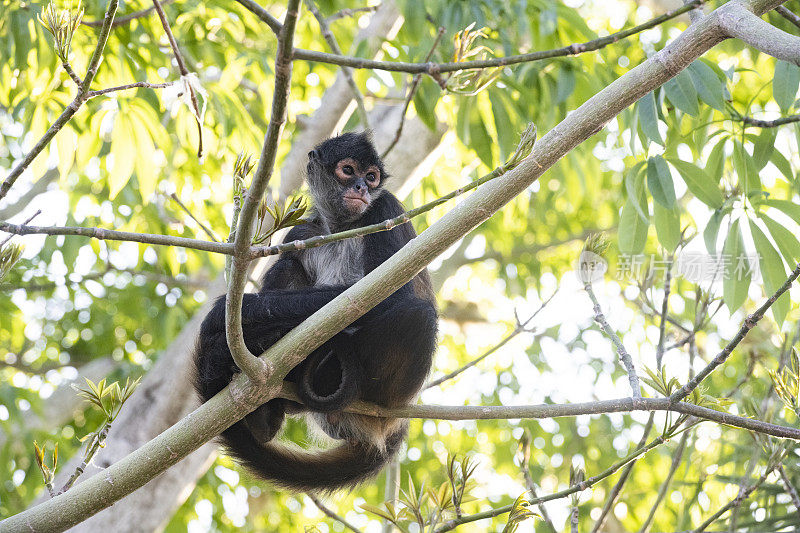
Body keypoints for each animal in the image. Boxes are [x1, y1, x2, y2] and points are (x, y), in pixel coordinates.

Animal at [194, 132, 438, 490]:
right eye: (348, 171)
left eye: (371, 177)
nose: (361, 188)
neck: (339, 227)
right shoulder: (301, 233)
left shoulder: (385, 208)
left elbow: (395, 297)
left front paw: (223, 316)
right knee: (288, 265)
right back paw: (265, 410)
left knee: (418, 314)